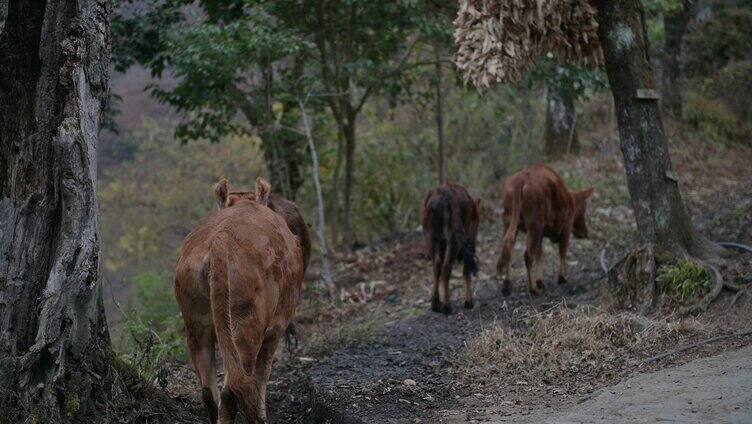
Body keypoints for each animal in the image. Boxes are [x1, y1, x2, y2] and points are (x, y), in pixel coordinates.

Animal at [176, 177, 306, 422]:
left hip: (195, 321)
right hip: (246, 323)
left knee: (209, 392)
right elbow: (263, 372)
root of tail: (221, 239)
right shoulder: (277, 326)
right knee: (233, 388)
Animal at [424, 182, 482, 314]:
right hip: (453, 241)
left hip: (434, 238)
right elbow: (466, 270)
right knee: (446, 267)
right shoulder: (468, 240)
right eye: (477, 220)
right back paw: (447, 306)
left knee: (437, 266)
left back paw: (435, 304)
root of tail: (445, 196)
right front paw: (468, 301)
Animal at [494, 164, 592, 296]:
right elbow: (562, 252)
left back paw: (507, 285)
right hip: (535, 224)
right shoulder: (566, 226)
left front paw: (540, 280)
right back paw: (533, 289)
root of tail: (519, 181)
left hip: (509, 220)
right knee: (527, 254)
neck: (570, 200)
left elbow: (540, 254)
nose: (585, 232)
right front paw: (562, 277)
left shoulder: (541, 234)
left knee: (508, 246)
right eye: (583, 209)